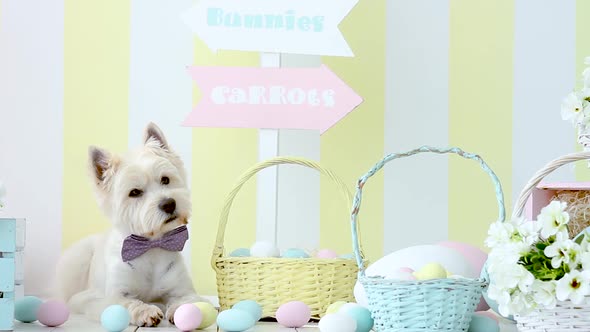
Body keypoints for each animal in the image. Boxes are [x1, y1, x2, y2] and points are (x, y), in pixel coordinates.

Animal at [55, 123, 207, 326]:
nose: (169, 204)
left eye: (165, 179)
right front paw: (146, 311)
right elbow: (129, 303)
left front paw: (182, 311)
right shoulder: (111, 297)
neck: (151, 245)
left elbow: (187, 299)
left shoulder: (182, 289)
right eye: (134, 192)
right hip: (77, 259)